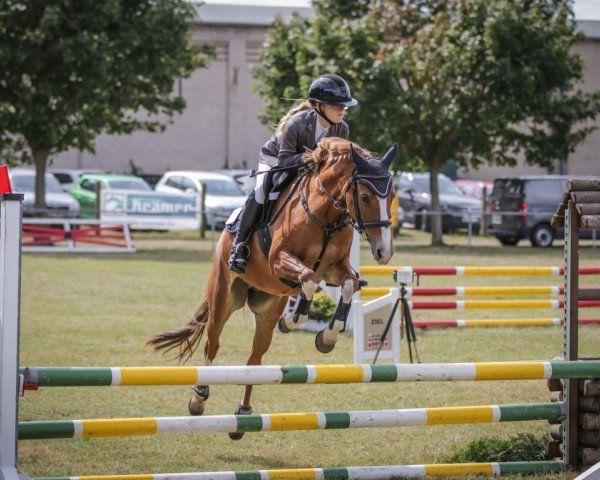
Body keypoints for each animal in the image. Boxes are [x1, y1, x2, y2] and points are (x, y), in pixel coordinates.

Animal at [148, 137, 396, 436]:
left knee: (254, 360)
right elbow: (308, 279)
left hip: (267, 309)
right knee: (212, 346)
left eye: (392, 196)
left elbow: (348, 285)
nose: (384, 252)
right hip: (223, 299)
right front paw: (295, 320)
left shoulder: (335, 269)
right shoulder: (280, 261)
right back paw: (199, 400)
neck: (325, 216)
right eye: (365, 197)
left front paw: (325, 337)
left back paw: (243, 415)